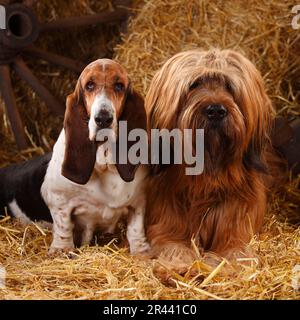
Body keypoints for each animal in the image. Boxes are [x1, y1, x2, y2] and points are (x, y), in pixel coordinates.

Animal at [0, 59, 150, 255]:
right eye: (89, 85)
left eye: (119, 86)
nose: (103, 118)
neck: (104, 163)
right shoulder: (58, 200)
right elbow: (64, 226)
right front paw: (61, 250)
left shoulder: (138, 201)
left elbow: (136, 228)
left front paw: (142, 251)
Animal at [144, 48, 278, 276]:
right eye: (194, 85)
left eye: (229, 87)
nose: (216, 110)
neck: (206, 179)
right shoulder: (165, 227)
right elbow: (173, 246)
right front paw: (179, 265)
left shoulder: (237, 230)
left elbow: (236, 251)